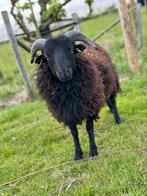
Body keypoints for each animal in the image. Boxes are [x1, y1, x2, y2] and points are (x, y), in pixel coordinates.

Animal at [30, 30, 120, 159]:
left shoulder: (89, 107)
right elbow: (74, 133)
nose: (64, 72)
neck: (68, 91)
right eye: (47, 57)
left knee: (113, 101)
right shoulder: (67, 113)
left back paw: (118, 120)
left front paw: (93, 151)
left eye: (71, 50)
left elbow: (89, 129)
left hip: (112, 82)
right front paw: (77, 154)